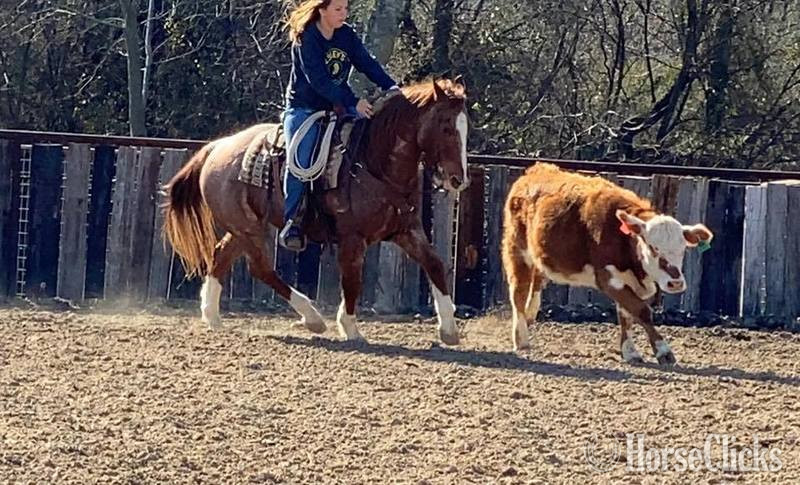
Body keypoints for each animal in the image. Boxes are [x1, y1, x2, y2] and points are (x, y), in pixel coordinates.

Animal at [163, 77, 469, 344]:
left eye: (466, 130)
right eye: (445, 127)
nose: (458, 180)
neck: (373, 162)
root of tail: (218, 147)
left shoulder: (407, 230)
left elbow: (435, 265)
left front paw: (449, 330)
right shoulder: (352, 238)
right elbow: (352, 280)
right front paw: (350, 328)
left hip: (243, 228)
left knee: (221, 255)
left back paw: (212, 317)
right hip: (248, 229)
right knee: (261, 268)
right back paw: (312, 318)